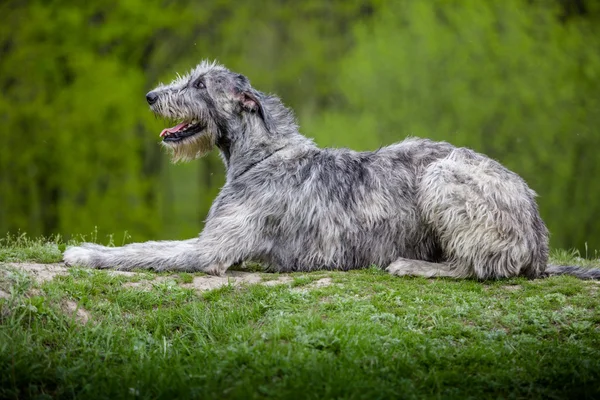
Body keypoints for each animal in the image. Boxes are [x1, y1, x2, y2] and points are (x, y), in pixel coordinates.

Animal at [63, 60, 596, 278]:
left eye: (198, 84)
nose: (151, 96)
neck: (264, 155)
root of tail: (539, 238)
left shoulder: (211, 250)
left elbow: (146, 252)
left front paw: (85, 254)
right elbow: (147, 247)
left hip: (443, 177)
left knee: (482, 266)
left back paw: (416, 266)